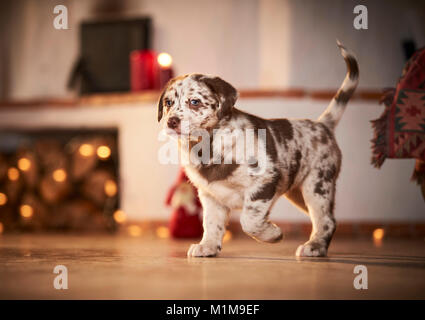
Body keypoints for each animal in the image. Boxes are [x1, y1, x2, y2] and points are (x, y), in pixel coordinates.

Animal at [157, 42, 356, 258]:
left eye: (194, 102)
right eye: (168, 103)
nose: (171, 121)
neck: (209, 145)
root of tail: (323, 125)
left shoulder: (264, 181)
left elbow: (249, 221)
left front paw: (273, 234)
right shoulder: (211, 196)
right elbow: (211, 224)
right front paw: (208, 246)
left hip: (317, 186)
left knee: (326, 220)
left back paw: (315, 247)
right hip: (299, 194)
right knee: (325, 218)